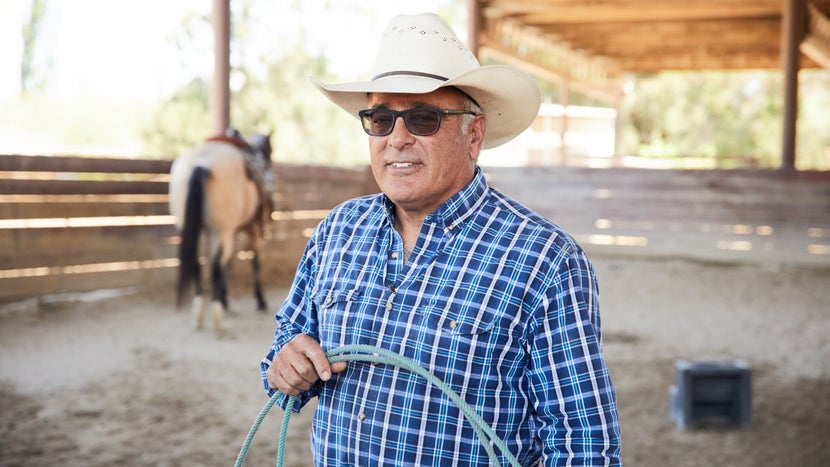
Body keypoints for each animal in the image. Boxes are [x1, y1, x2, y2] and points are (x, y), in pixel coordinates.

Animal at [169, 128, 276, 332]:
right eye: (270, 151)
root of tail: (201, 164)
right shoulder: (252, 227)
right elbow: (255, 261)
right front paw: (260, 300)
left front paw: (226, 300)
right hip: (222, 231)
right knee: (216, 266)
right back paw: (218, 319)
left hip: (198, 228)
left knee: (197, 264)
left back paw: (199, 313)